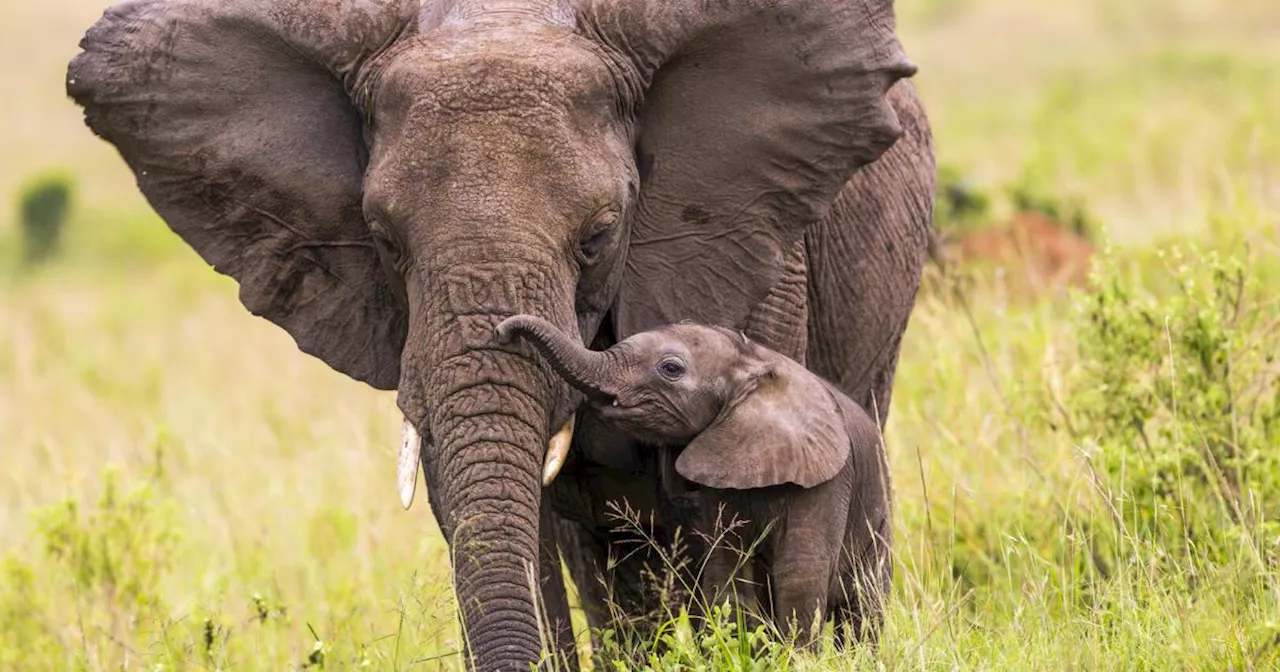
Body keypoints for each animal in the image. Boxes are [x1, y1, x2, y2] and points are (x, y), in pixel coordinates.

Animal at [494, 314, 896, 645]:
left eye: (671, 368)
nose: (501, 331)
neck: (754, 361)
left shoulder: (825, 481)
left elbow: (800, 574)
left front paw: (795, 660)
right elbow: (725, 567)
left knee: (864, 608)